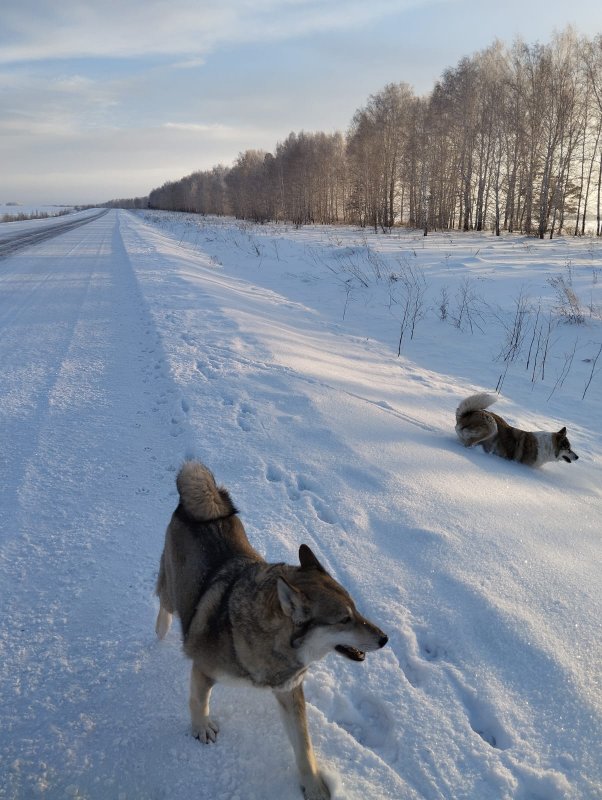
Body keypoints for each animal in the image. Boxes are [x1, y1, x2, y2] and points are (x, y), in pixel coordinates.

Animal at [155, 462, 386, 800]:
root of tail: (203, 501)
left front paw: (314, 786)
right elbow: (199, 701)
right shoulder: (204, 669)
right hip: (174, 589)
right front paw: (201, 728)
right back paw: (162, 628)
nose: (385, 639)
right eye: (343, 620)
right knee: (163, 600)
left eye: (356, 611)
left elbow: (304, 746)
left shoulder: (290, 691)